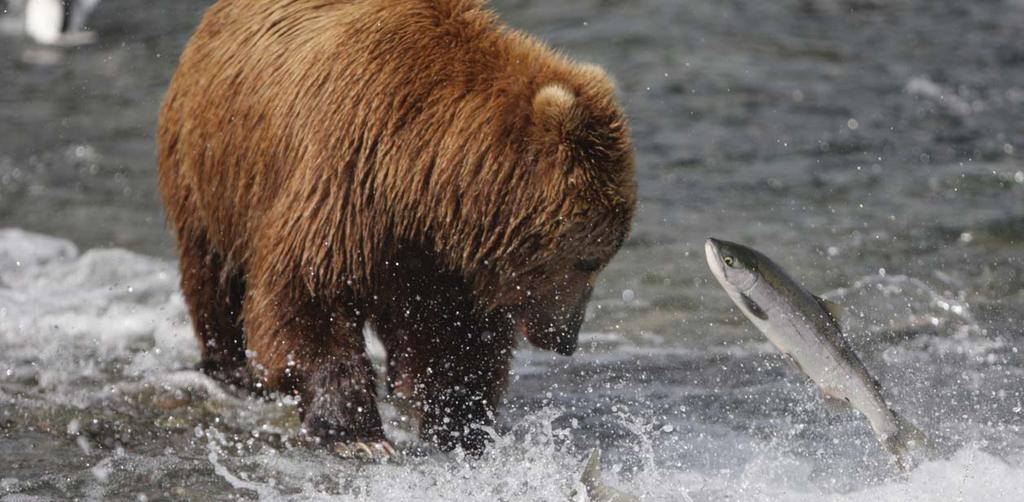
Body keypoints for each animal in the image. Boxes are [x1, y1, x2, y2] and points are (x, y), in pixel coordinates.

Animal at [154, 0, 630, 456]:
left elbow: (456, 337)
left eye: (603, 257)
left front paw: (462, 423)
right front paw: (355, 434)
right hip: (212, 171)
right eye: (588, 260)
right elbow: (307, 295)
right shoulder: (347, 177)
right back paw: (231, 367)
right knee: (215, 280)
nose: (566, 337)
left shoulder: (444, 257)